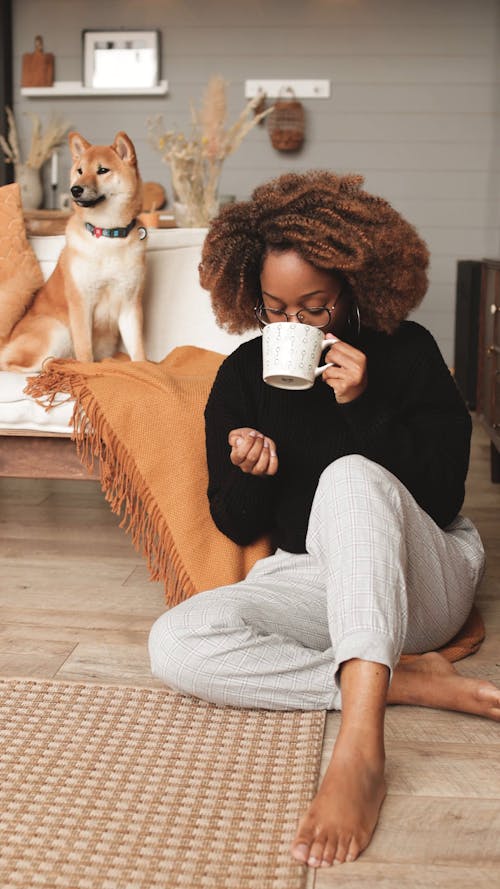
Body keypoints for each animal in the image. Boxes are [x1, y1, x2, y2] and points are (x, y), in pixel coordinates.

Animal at [0, 129, 146, 372]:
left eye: (102, 170)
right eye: (80, 171)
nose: (75, 189)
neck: (107, 236)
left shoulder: (130, 305)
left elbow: (139, 351)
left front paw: (146, 368)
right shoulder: (81, 303)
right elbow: (85, 350)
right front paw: (85, 371)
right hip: (56, 330)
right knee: (14, 365)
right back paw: (56, 364)